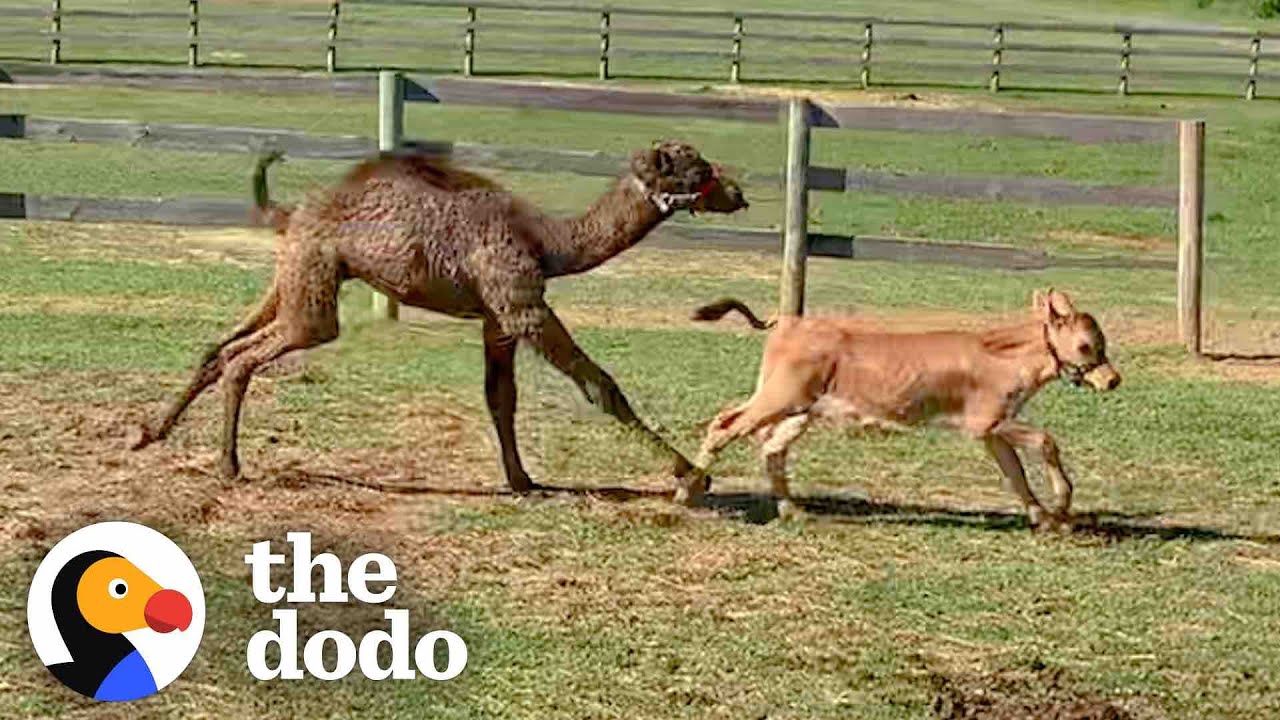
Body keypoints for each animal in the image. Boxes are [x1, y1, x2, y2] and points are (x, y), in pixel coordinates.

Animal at [130, 141, 748, 500]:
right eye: (698, 168)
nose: (738, 192)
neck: (550, 243)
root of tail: (290, 211)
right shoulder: (521, 303)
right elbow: (600, 386)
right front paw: (693, 477)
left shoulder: (496, 318)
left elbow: (500, 398)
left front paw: (522, 481)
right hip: (313, 291)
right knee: (246, 354)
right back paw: (229, 466)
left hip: (293, 276)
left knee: (220, 345)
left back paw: (151, 433)